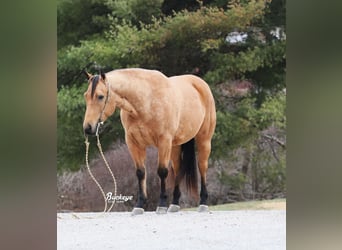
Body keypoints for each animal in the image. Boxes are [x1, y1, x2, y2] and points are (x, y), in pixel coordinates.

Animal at [82, 68, 216, 215]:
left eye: (100, 96)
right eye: (86, 96)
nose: (88, 128)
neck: (146, 102)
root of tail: (200, 83)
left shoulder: (164, 141)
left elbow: (162, 171)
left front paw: (161, 204)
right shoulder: (134, 144)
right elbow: (140, 172)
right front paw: (139, 205)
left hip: (204, 140)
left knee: (202, 166)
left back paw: (203, 203)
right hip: (175, 146)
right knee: (178, 168)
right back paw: (174, 204)